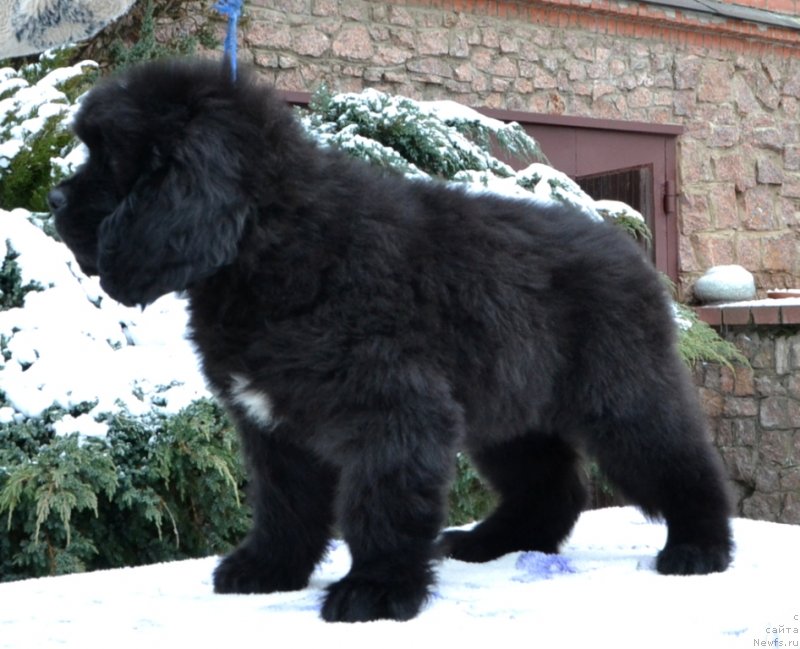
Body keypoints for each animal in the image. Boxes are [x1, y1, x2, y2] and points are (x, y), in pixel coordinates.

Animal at [50, 60, 736, 624]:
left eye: (109, 160)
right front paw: (268, 568)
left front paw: (375, 590)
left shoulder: (393, 409)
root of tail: (624, 243)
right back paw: (487, 543)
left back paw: (699, 546)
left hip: (620, 397)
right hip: (509, 412)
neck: (269, 244)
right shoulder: (271, 425)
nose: (54, 198)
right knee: (551, 486)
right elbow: (283, 505)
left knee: (681, 461)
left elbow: (377, 503)